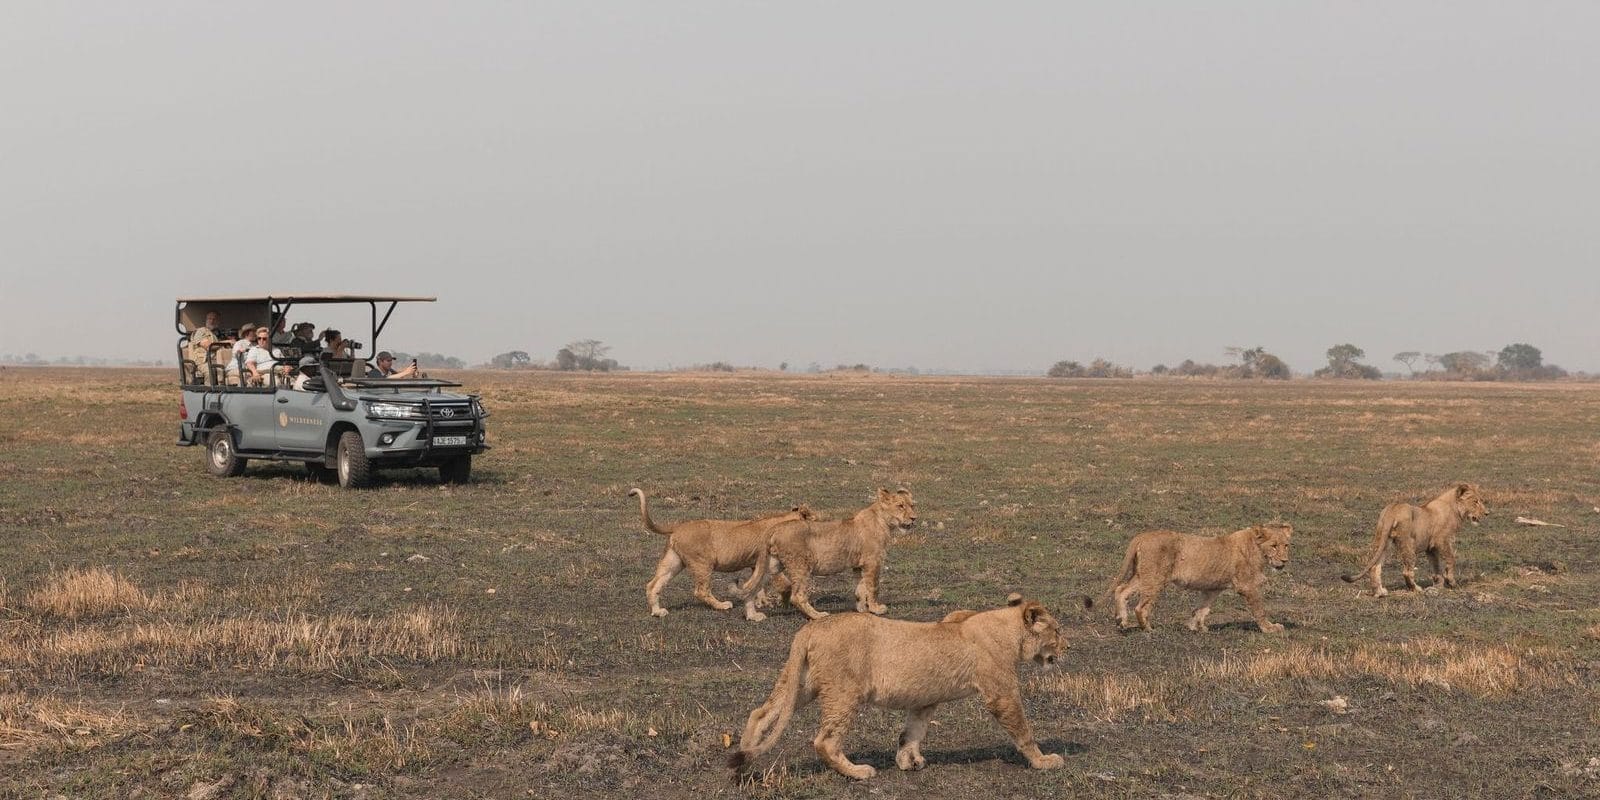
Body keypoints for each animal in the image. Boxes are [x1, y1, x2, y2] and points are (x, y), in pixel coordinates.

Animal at [629, 488, 815, 621]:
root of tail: (678, 526)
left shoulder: (755, 564)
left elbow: (758, 586)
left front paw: (761, 602)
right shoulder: (769, 561)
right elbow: (784, 584)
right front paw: (781, 603)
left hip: (673, 562)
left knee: (653, 585)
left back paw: (657, 612)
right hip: (702, 563)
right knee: (701, 590)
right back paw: (722, 605)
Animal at [728, 593, 1068, 780]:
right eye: (1057, 630)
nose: (1068, 646)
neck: (1009, 630)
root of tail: (811, 628)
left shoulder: (926, 698)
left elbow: (912, 732)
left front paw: (908, 761)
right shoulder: (1001, 693)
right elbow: (1023, 731)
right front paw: (1043, 761)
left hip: (804, 684)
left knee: (761, 712)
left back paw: (743, 761)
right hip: (844, 692)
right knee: (824, 740)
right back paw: (858, 772)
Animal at [763, 488, 917, 620]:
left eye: (912, 506)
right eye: (900, 506)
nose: (914, 518)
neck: (883, 522)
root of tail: (775, 528)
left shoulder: (859, 565)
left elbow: (861, 588)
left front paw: (862, 609)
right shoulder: (873, 562)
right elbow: (873, 587)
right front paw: (876, 609)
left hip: (772, 565)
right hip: (800, 566)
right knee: (797, 596)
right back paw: (818, 615)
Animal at [1111, 522, 1293, 633]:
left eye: (1286, 545)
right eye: (1274, 546)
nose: (1285, 560)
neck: (1257, 549)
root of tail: (1142, 536)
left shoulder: (1213, 588)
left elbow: (1202, 608)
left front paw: (1197, 627)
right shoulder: (1247, 586)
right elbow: (1259, 609)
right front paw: (1270, 628)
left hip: (1143, 574)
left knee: (1121, 589)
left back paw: (1122, 621)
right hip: (1156, 578)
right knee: (1140, 607)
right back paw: (1147, 628)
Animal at [1341, 482, 1487, 597]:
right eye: (1475, 501)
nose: (1487, 513)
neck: (1455, 509)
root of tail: (1392, 510)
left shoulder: (1431, 548)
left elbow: (1436, 567)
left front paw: (1438, 586)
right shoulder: (1442, 540)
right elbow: (1451, 559)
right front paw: (1451, 582)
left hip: (1382, 541)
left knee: (1375, 566)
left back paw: (1380, 592)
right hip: (1407, 544)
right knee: (1406, 571)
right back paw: (1416, 589)